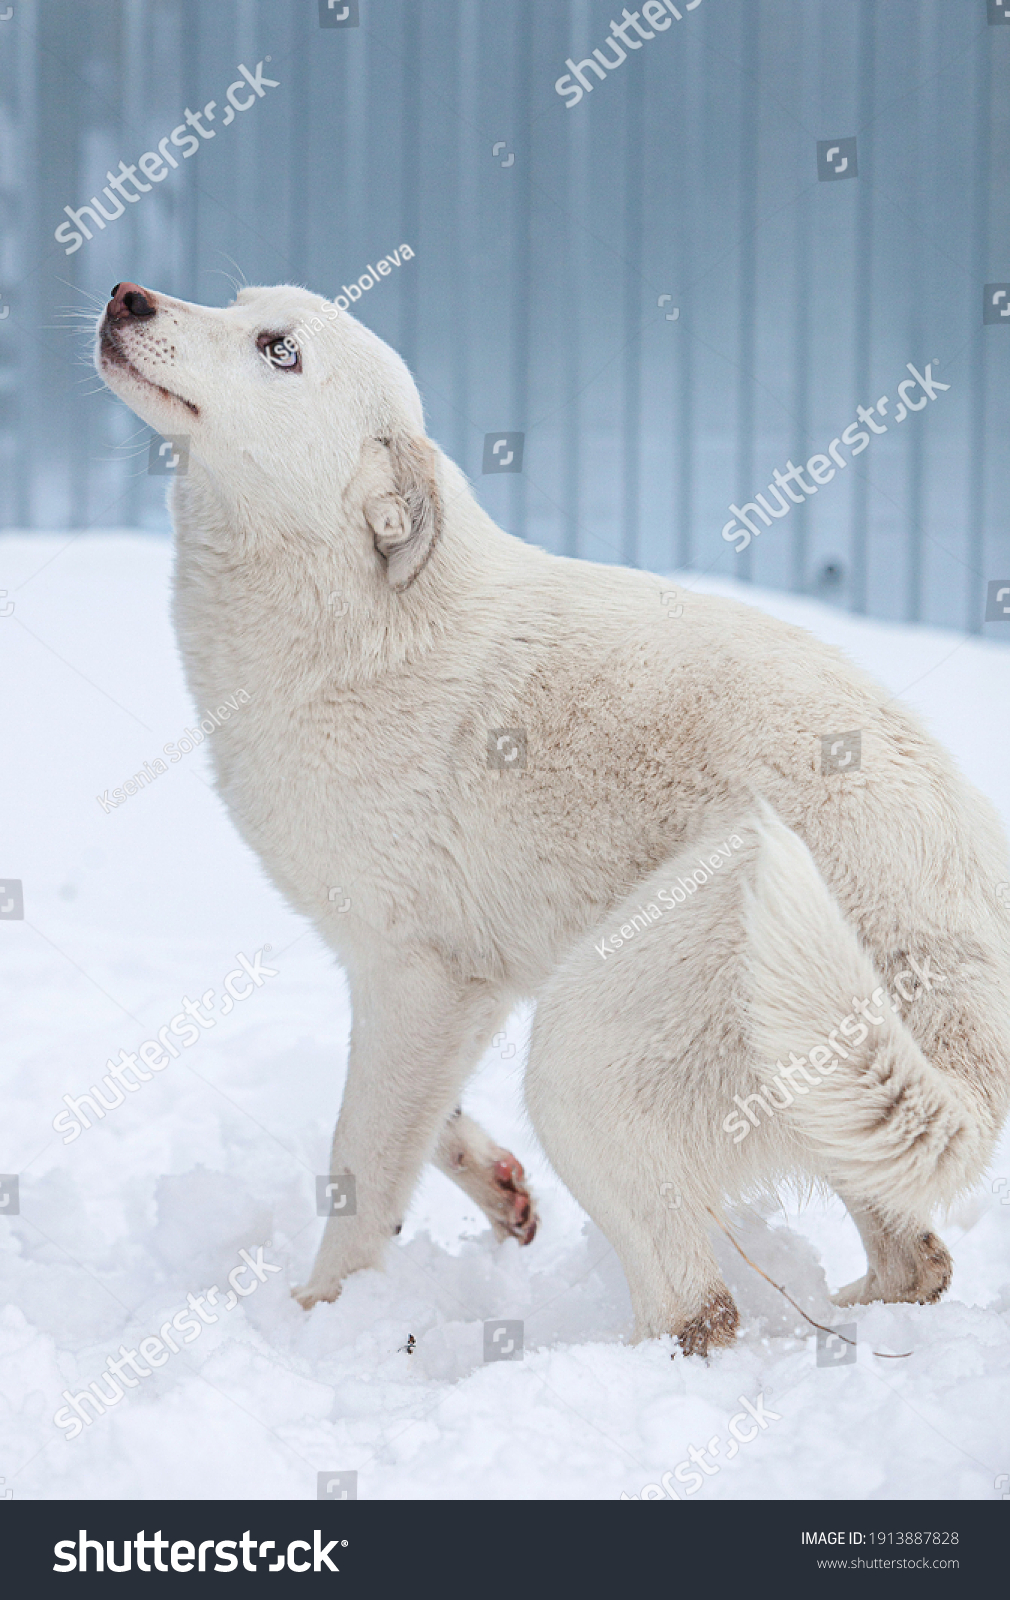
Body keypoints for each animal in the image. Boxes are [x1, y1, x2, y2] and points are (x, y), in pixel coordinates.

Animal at [96, 281, 1010, 1356]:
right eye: (237, 305)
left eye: (278, 350)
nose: (127, 295)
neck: (362, 617)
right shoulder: (448, 991)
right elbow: (421, 1124)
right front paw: (498, 1190)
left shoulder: (415, 977)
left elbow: (361, 1169)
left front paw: (321, 1321)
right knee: (916, 1262)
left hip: (590, 1049)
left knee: (703, 1313)